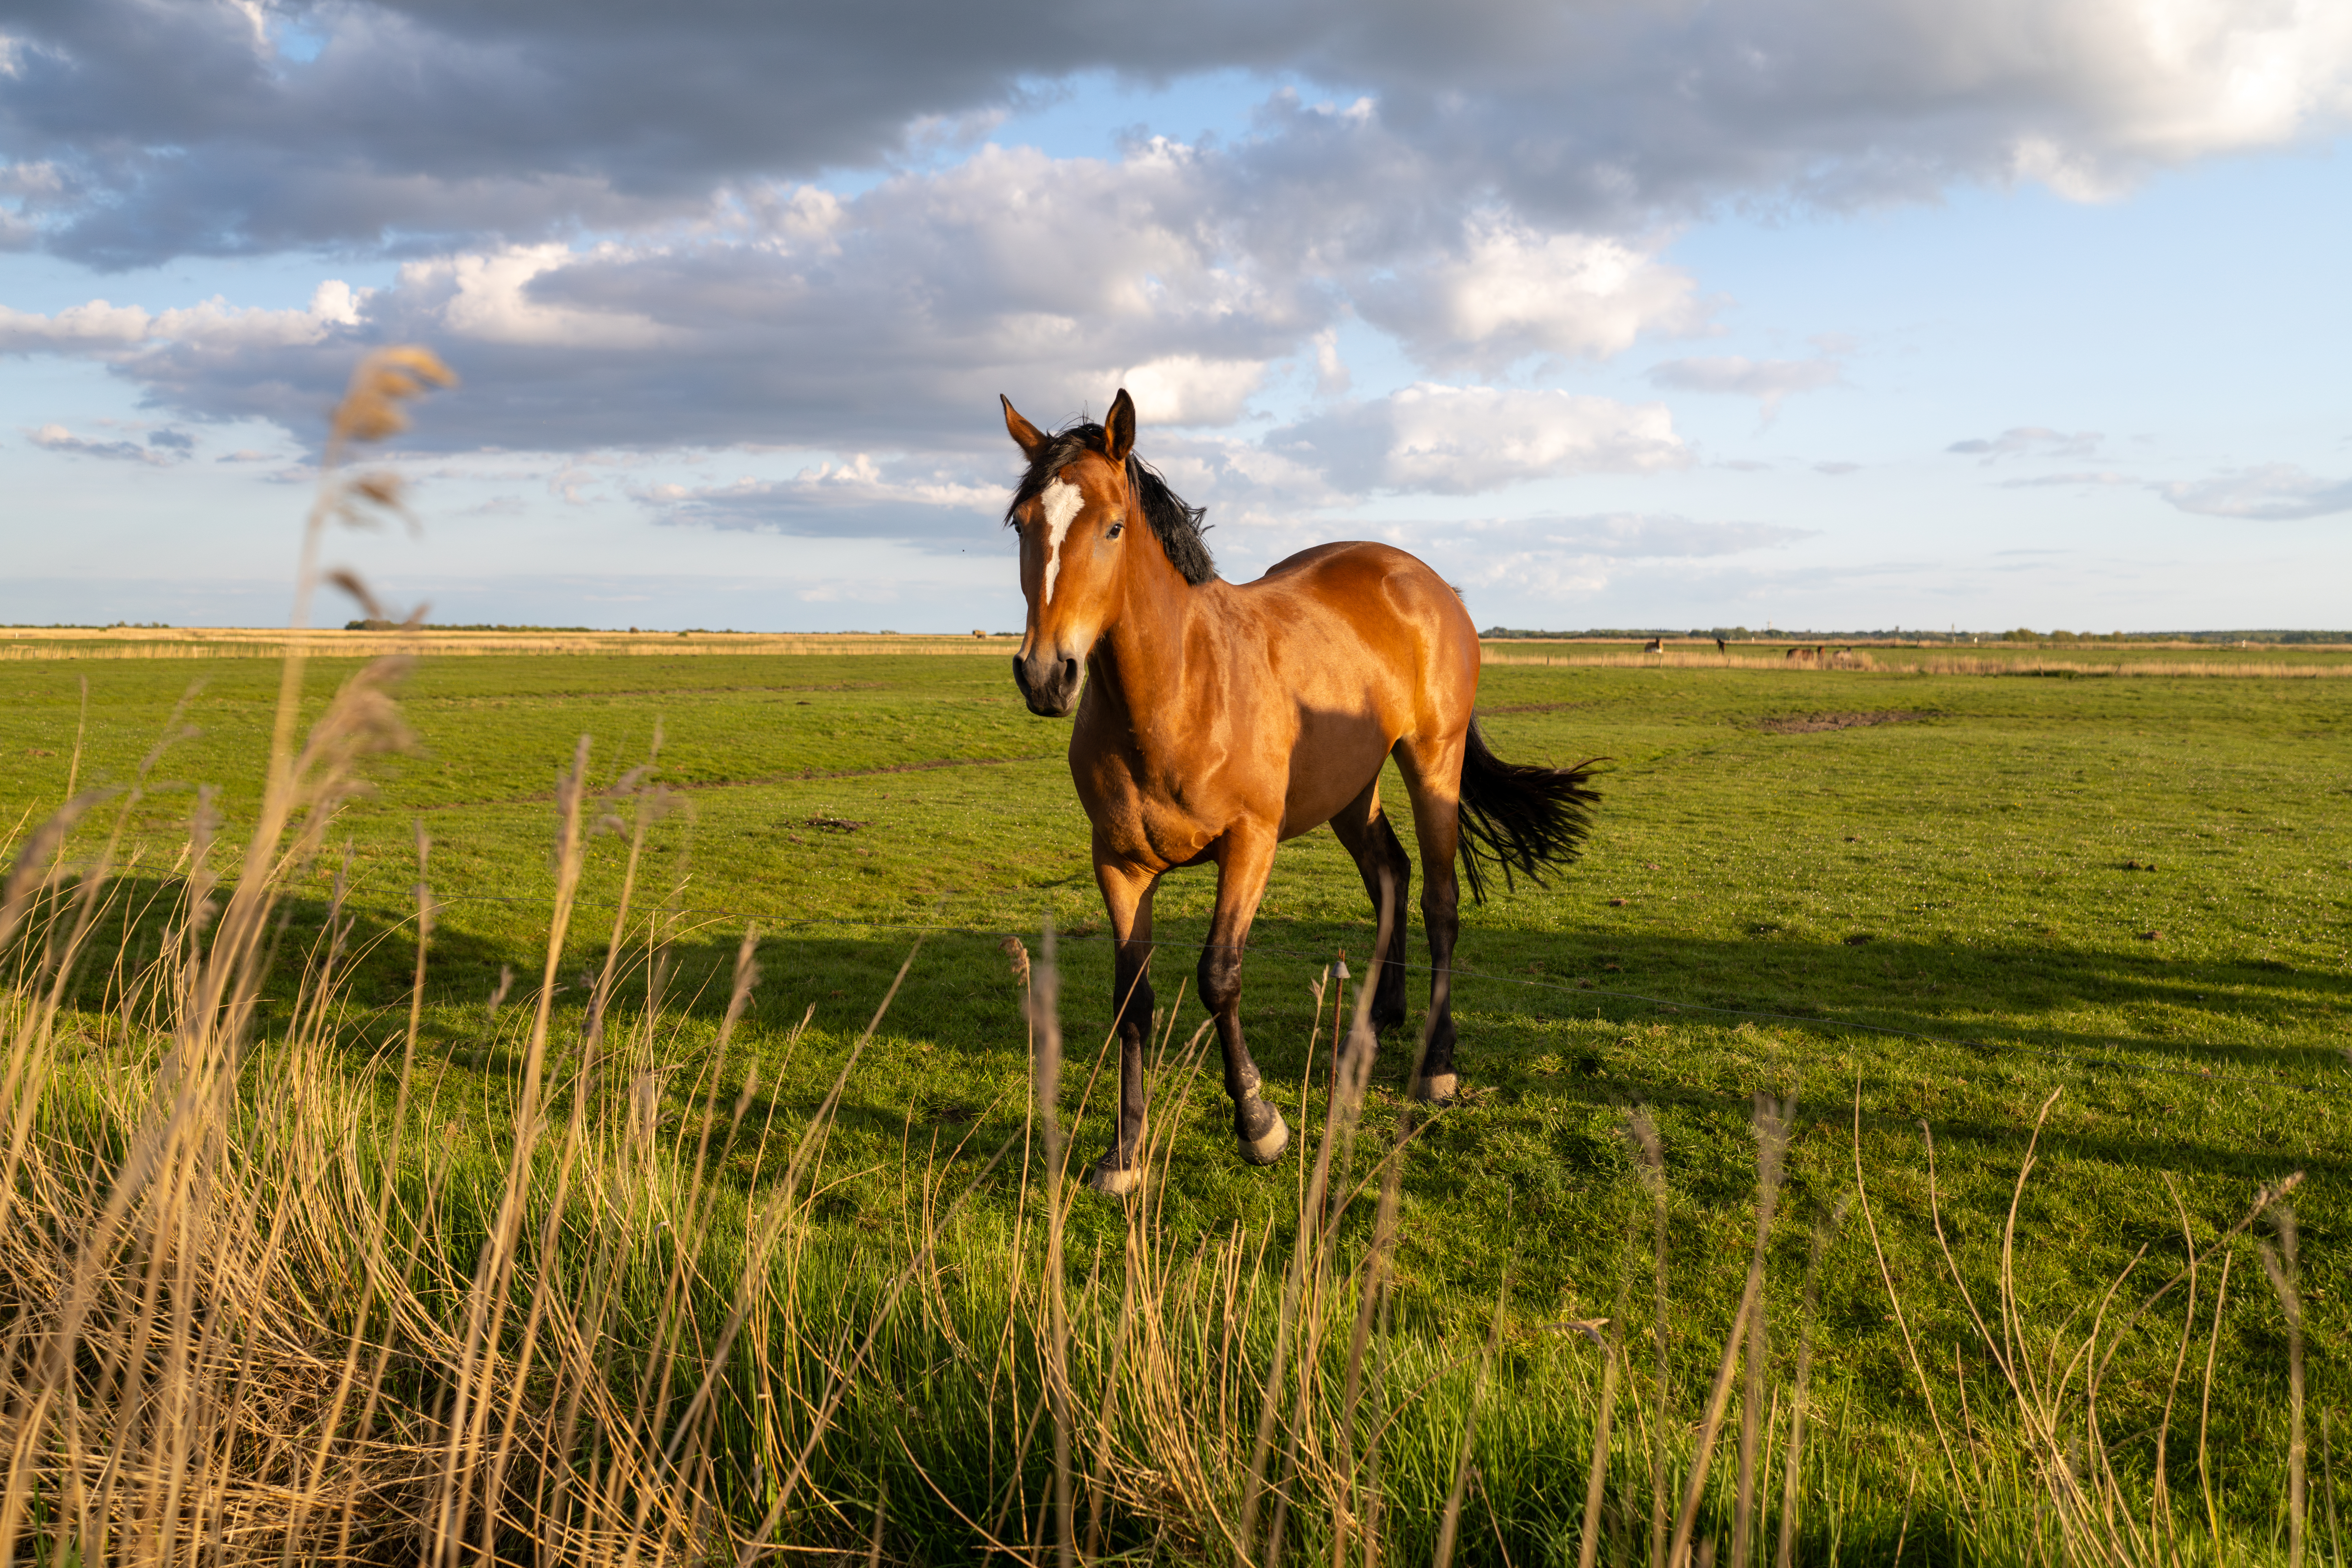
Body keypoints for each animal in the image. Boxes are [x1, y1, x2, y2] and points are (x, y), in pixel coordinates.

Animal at [1000, 388, 1602, 1193]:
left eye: (1112, 525)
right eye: (1022, 523)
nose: (1046, 673)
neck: (1178, 692)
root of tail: (1425, 581)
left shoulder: (1249, 845)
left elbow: (1218, 975)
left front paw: (1258, 1122)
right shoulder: (1118, 864)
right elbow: (1133, 995)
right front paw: (1124, 1150)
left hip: (1432, 764)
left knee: (1440, 901)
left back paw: (1436, 1065)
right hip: (1350, 791)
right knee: (1391, 876)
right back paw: (1376, 1018)